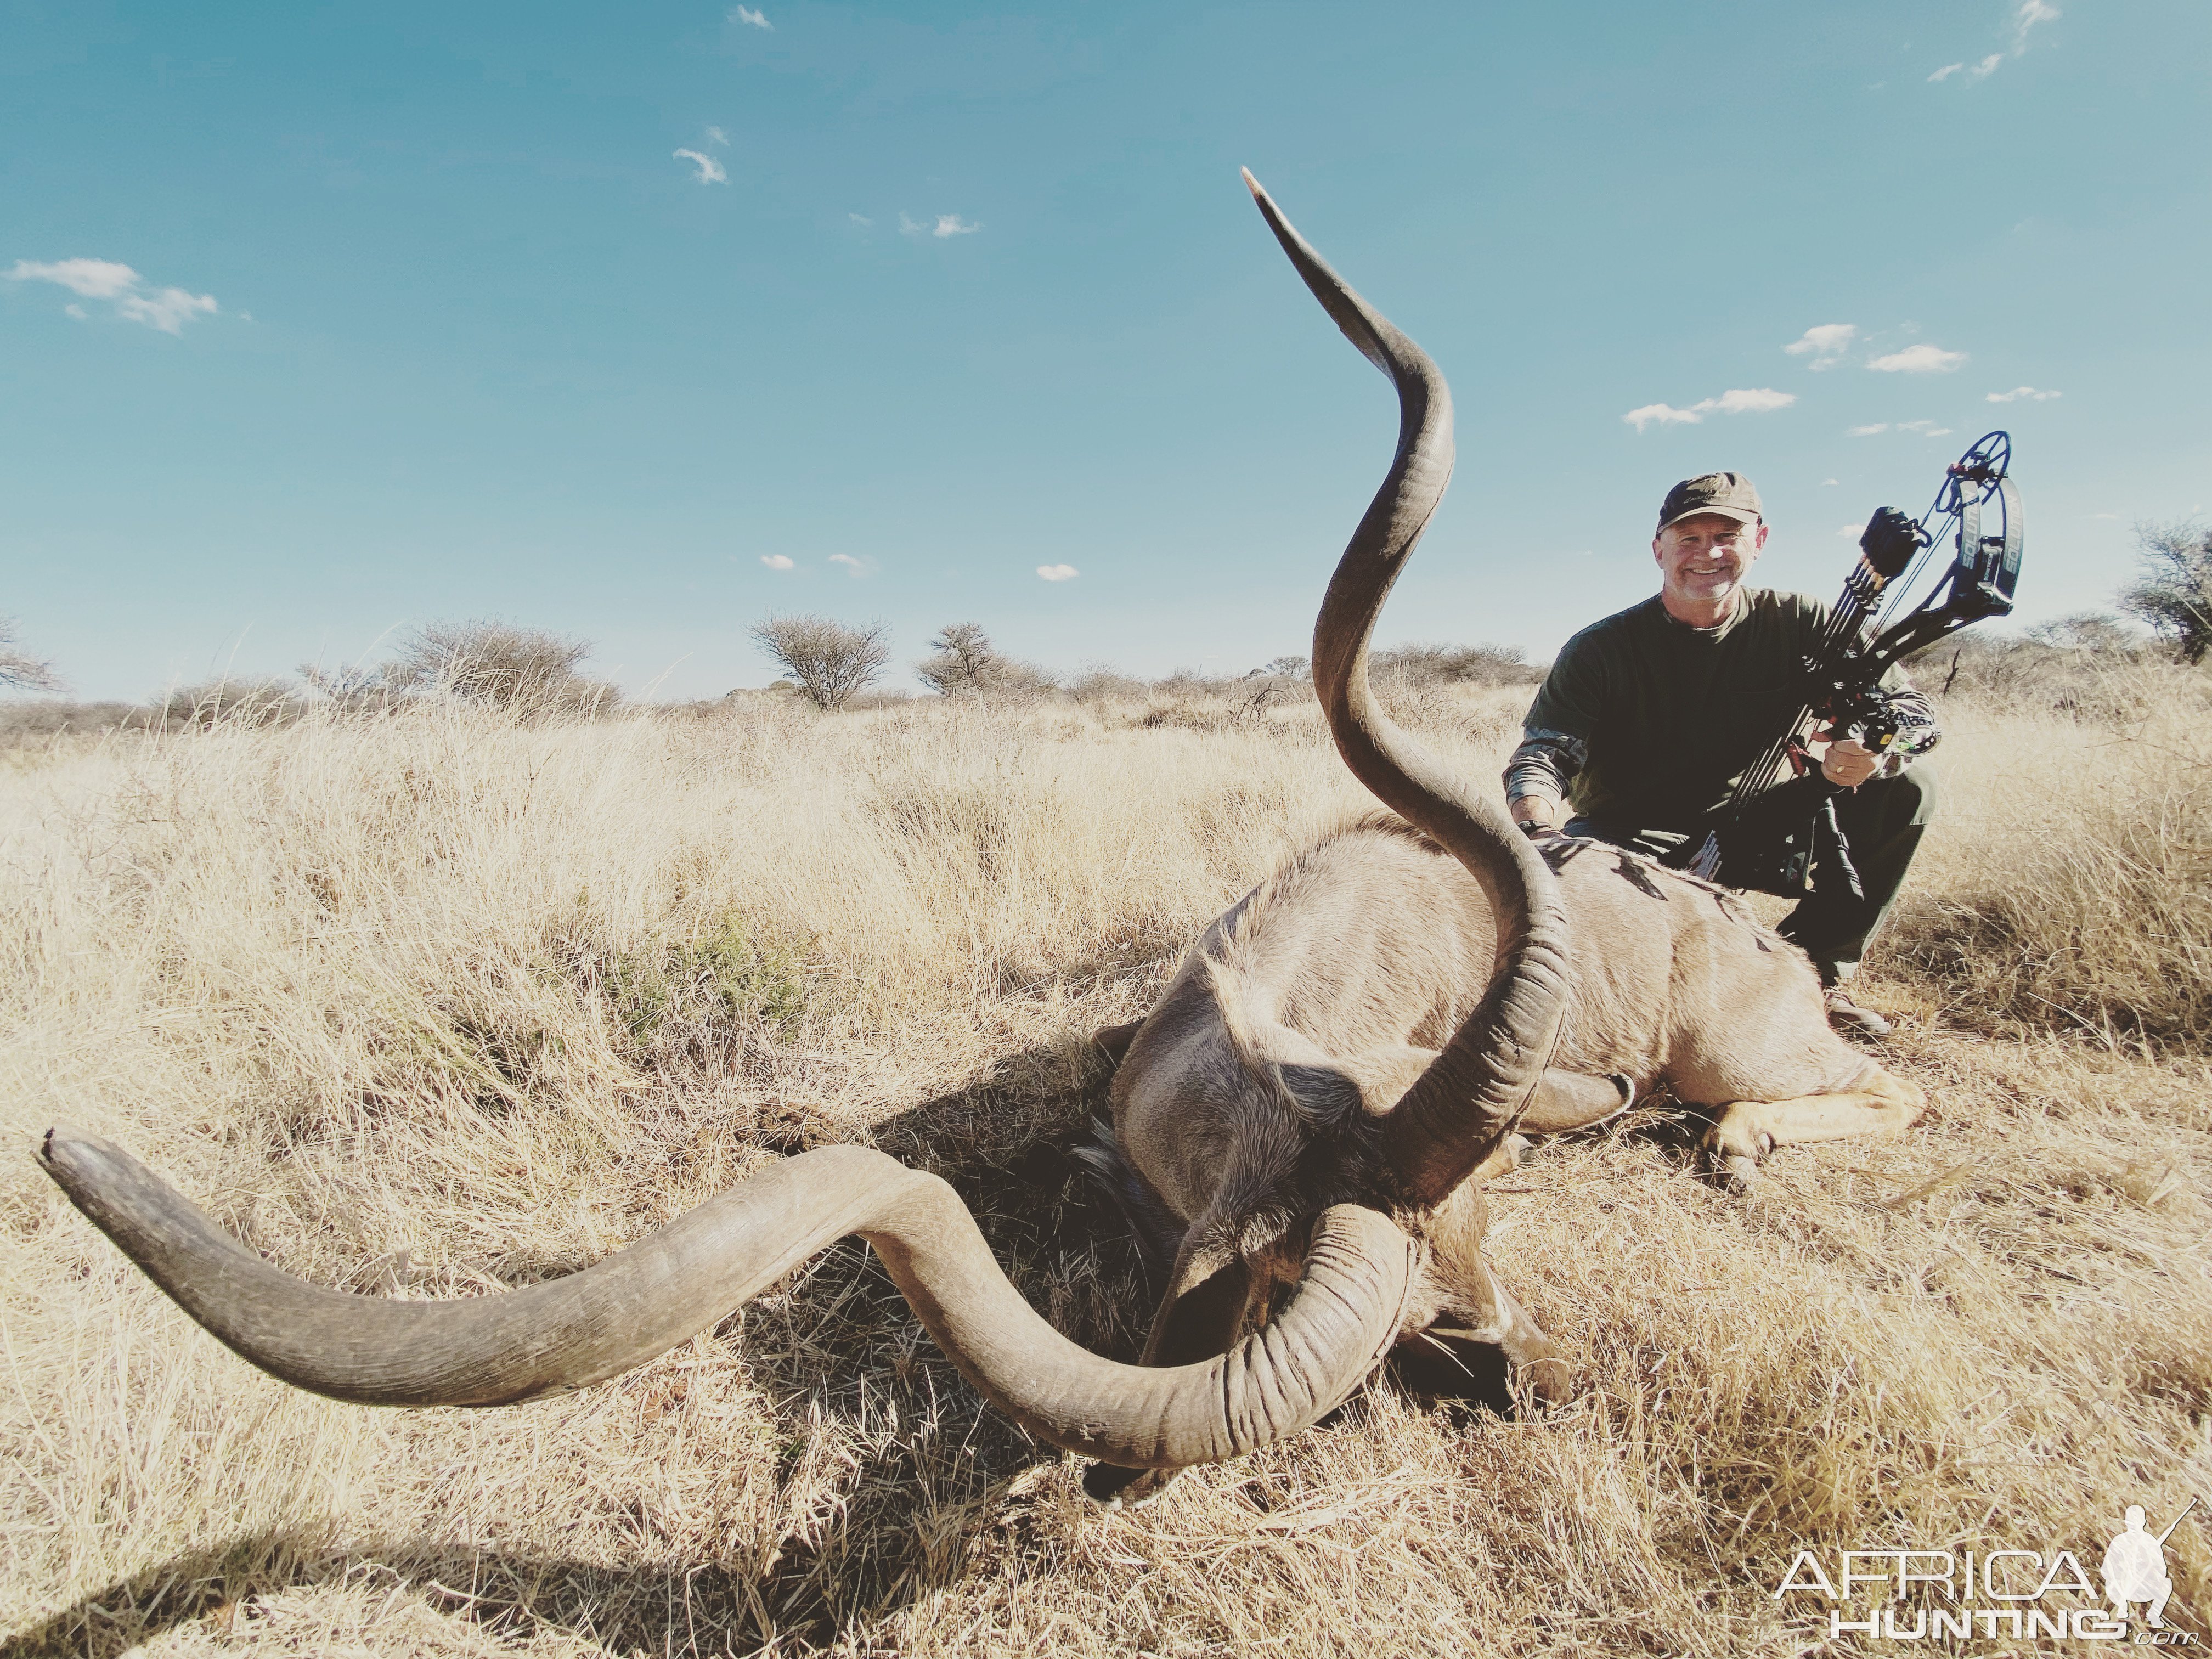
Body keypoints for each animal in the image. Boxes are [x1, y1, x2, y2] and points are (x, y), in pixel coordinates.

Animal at [30, 172, 1920, 1504]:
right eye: (1426, 1306)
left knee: (1859, 1087)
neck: (1265, 1006)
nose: (1524, 1371)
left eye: (1479, 1241)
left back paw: (1752, 1134)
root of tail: (1754, 940)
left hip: (1739, 1051)